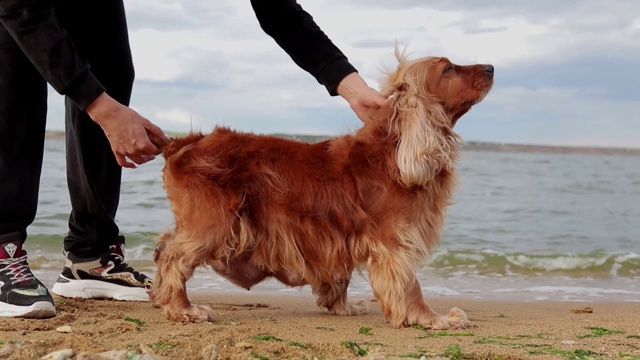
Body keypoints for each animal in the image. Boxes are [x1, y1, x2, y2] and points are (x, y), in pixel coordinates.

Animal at [149, 50, 496, 330]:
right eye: (448, 68)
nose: (492, 67)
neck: (394, 148)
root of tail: (180, 143)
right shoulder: (396, 242)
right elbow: (411, 285)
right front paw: (433, 319)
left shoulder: (336, 238)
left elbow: (339, 276)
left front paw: (342, 306)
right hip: (213, 222)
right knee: (174, 257)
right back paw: (183, 310)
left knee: (164, 246)